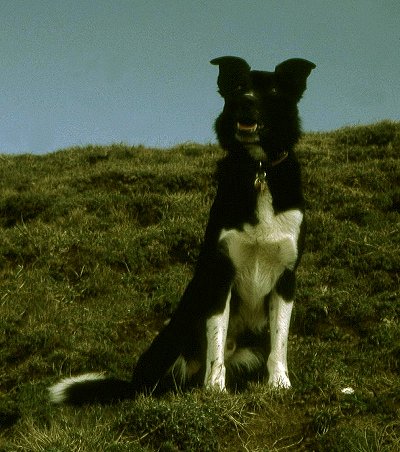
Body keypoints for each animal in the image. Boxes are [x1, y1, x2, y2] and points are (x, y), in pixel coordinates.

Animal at [48, 54, 316, 404]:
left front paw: (280, 383)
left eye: (271, 91)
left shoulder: (285, 277)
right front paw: (215, 390)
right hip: (173, 335)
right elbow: (216, 345)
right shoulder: (219, 274)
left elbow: (279, 342)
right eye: (238, 88)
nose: (245, 103)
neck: (260, 172)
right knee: (153, 385)